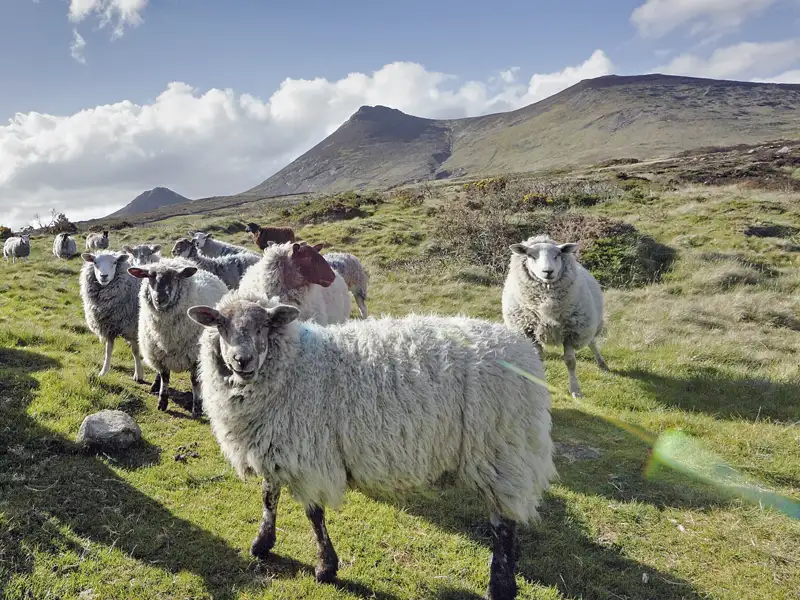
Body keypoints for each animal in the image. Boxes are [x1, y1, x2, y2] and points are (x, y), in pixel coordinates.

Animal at [79, 251, 145, 382]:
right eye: (95, 262)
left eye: (115, 262)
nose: (103, 276)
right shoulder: (109, 327)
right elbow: (108, 351)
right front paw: (103, 372)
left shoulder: (132, 328)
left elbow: (135, 351)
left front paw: (138, 374)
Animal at [128, 257, 228, 417]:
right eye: (149, 276)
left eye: (176, 277)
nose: (160, 298)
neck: (169, 336)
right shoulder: (160, 355)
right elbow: (164, 376)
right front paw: (162, 401)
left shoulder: (195, 356)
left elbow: (195, 381)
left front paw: (197, 408)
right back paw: (155, 385)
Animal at [187, 291, 556, 600]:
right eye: (220, 324)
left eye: (265, 324)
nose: (242, 360)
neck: (295, 366)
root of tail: (522, 350)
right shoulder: (277, 444)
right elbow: (269, 496)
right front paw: (263, 543)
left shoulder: (310, 453)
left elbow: (314, 514)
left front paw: (326, 568)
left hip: (502, 451)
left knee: (503, 523)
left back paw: (501, 586)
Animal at [502, 235, 608, 399]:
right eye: (531, 255)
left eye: (557, 255)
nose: (548, 271)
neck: (547, 304)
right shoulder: (528, 331)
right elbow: (538, 358)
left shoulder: (571, 332)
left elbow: (570, 362)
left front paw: (575, 391)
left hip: (588, 324)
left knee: (592, 342)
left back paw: (602, 364)